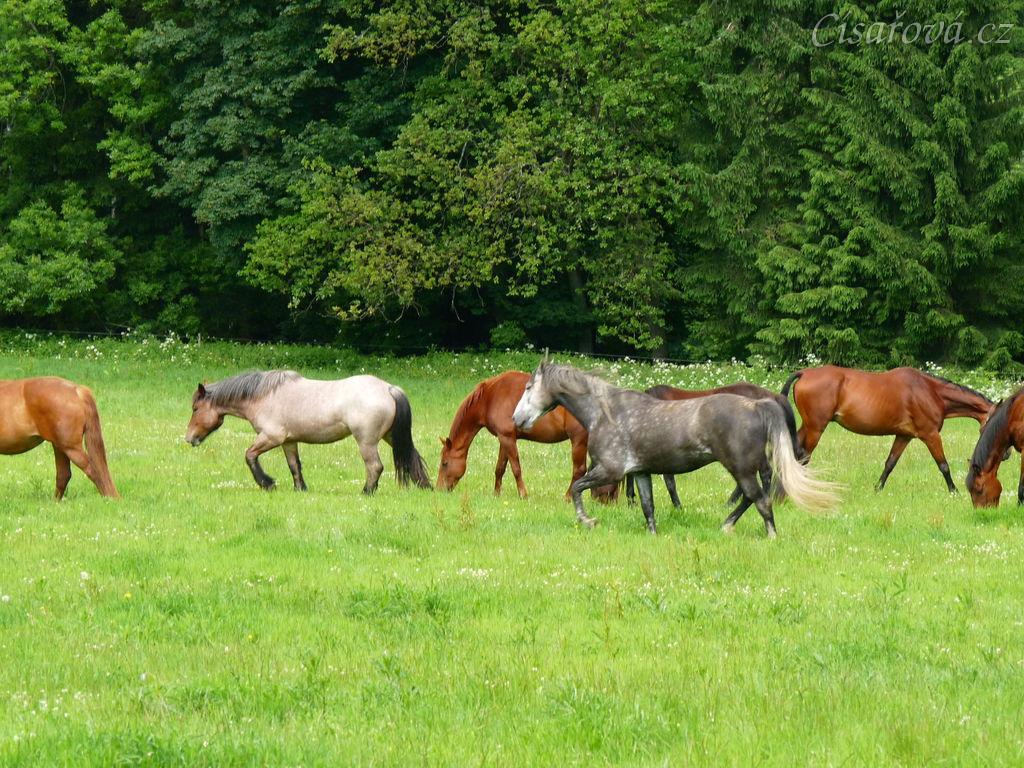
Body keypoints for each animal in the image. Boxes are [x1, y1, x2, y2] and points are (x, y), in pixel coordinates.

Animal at [184, 370, 431, 493]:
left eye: (195, 408)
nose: (189, 438)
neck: (264, 396)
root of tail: (388, 388)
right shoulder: (288, 441)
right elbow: (294, 466)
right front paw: (300, 489)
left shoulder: (271, 437)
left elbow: (249, 455)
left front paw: (267, 483)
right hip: (392, 436)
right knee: (412, 457)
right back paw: (424, 486)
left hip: (367, 442)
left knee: (375, 467)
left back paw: (366, 492)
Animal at [437, 371, 617, 501]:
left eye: (445, 463)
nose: (439, 489)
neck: (490, 397)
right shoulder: (505, 439)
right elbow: (500, 468)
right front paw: (496, 494)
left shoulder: (507, 438)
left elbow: (516, 468)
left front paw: (523, 494)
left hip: (579, 441)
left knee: (579, 470)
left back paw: (568, 497)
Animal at [783, 366, 994, 493]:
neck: (930, 391)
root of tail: (805, 373)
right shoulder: (930, 435)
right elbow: (943, 465)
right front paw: (954, 491)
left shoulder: (903, 436)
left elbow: (890, 463)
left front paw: (878, 488)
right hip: (815, 427)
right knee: (803, 455)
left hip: (808, 426)